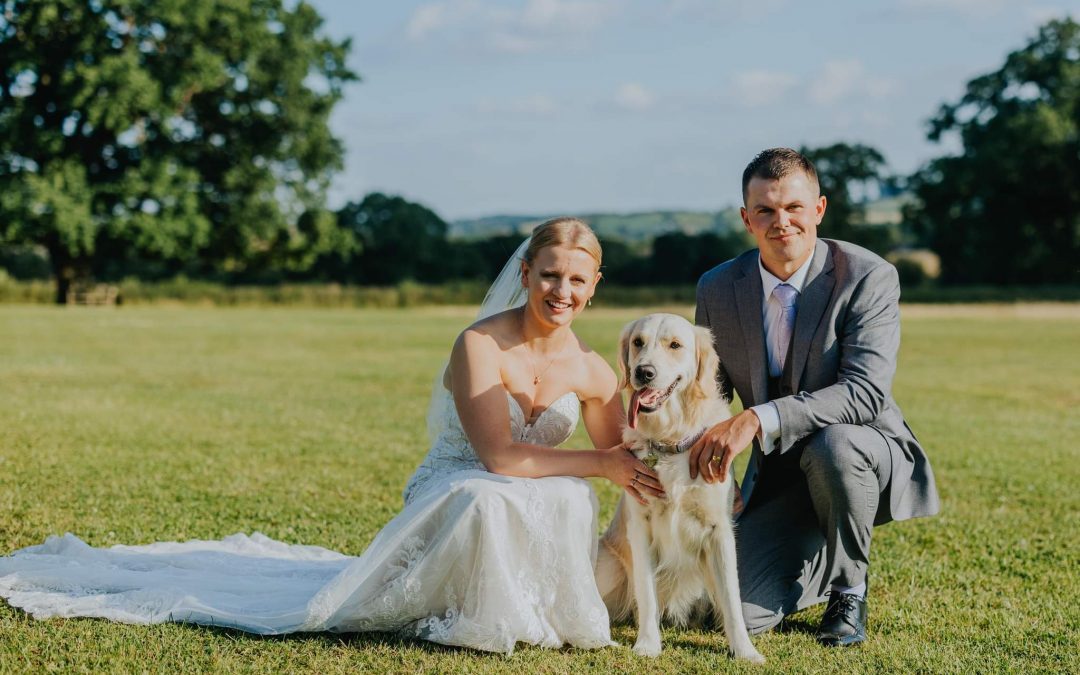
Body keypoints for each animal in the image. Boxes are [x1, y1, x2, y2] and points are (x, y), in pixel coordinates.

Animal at [596, 313, 764, 660]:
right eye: (638, 343)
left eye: (674, 345)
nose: (643, 372)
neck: (669, 439)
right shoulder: (641, 527)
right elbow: (646, 595)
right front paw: (647, 645)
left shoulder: (718, 530)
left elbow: (732, 600)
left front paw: (745, 650)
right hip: (608, 567)